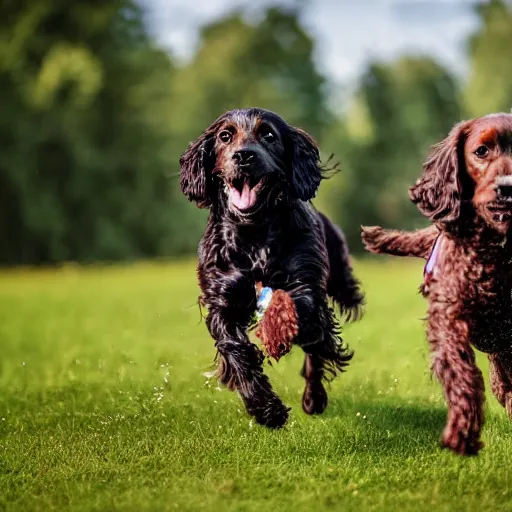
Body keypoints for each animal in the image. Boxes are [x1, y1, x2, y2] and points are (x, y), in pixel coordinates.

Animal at [180, 108, 364, 428]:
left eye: (268, 134)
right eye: (225, 136)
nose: (244, 155)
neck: (253, 234)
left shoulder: (306, 284)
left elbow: (296, 308)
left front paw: (277, 331)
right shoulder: (222, 300)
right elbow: (236, 350)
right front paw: (266, 409)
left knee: (317, 349)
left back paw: (314, 399)